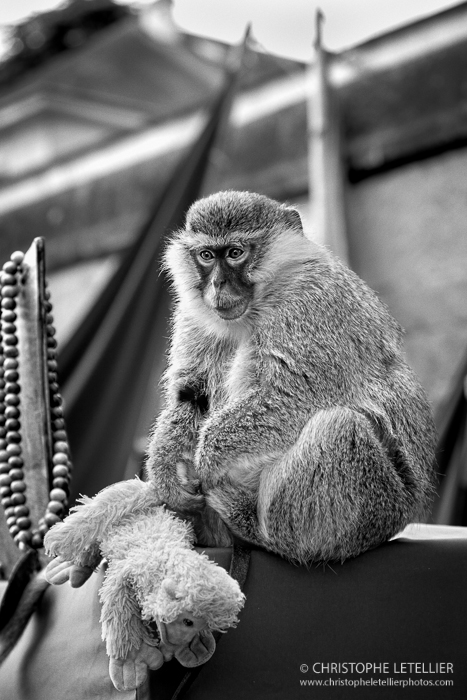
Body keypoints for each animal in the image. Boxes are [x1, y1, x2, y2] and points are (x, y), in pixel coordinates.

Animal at [144, 187, 436, 564]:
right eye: (207, 256)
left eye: (235, 253)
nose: (218, 284)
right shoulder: (194, 318)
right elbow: (191, 393)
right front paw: (164, 468)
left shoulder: (307, 306)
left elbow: (293, 397)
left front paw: (207, 459)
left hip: (378, 510)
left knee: (340, 426)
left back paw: (257, 528)